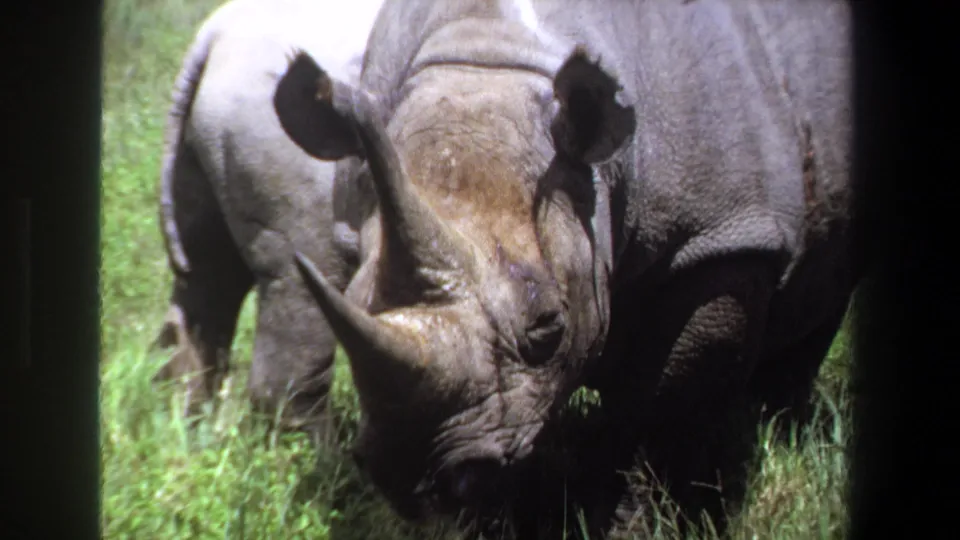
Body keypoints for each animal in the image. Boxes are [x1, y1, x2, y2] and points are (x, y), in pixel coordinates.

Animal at [150, 0, 384, 439]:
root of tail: (215, 33)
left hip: (206, 144)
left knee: (206, 278)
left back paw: (186, 432)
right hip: (285, 150)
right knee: (302, 283)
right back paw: (324, 450)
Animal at [273, 0, 859, 535]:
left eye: (548, 326)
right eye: (349, 304)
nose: (410, 479)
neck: (489, 59)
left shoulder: (719, 238)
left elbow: (658, 413)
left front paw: (633, 526)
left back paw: (780, 431)